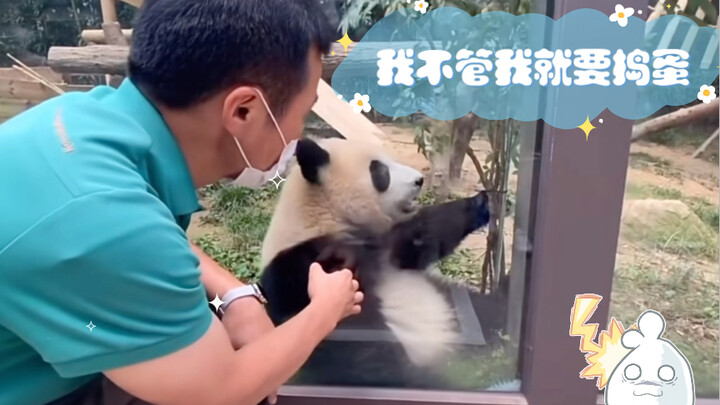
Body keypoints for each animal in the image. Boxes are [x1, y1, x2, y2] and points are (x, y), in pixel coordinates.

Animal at [258, 135, 491, 380]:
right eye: (380, 171)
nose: (419, 180)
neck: (325, 217)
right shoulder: (302, 269)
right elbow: (352, 338)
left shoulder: (385, 245)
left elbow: (419, 237)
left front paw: (481, 202)